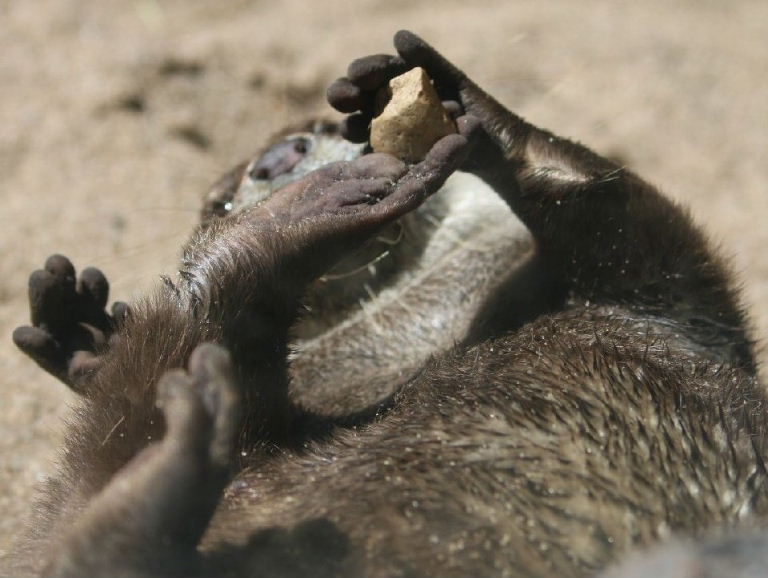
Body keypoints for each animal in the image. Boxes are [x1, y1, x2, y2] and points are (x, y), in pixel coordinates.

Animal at [5, 31, 767, 577]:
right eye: (217, 200)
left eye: (324, 124)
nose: (278, 159)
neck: (419, 328)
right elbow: (631, 218)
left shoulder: (681, 305)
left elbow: (626, 220)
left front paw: (472, 108)